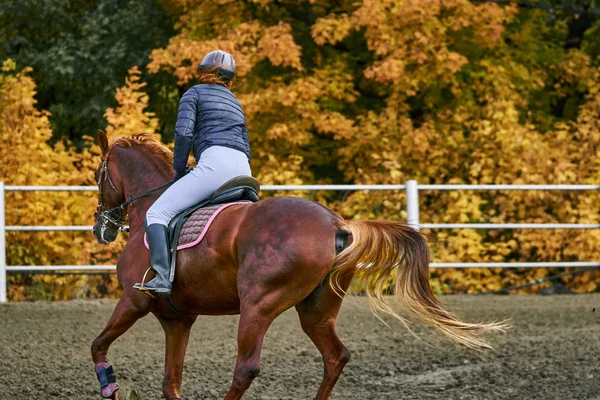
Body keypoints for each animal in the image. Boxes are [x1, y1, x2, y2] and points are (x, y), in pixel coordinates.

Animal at [92, 133, 506, 398]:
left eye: (98, 175)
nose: (101, 226)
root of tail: (335, 222)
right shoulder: (177, 319)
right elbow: (170, 383)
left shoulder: (133, 301)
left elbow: (98, 346)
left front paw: (111, 388)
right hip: (316, 311)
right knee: (336, 356)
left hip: (257, 306)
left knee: (246, 367)